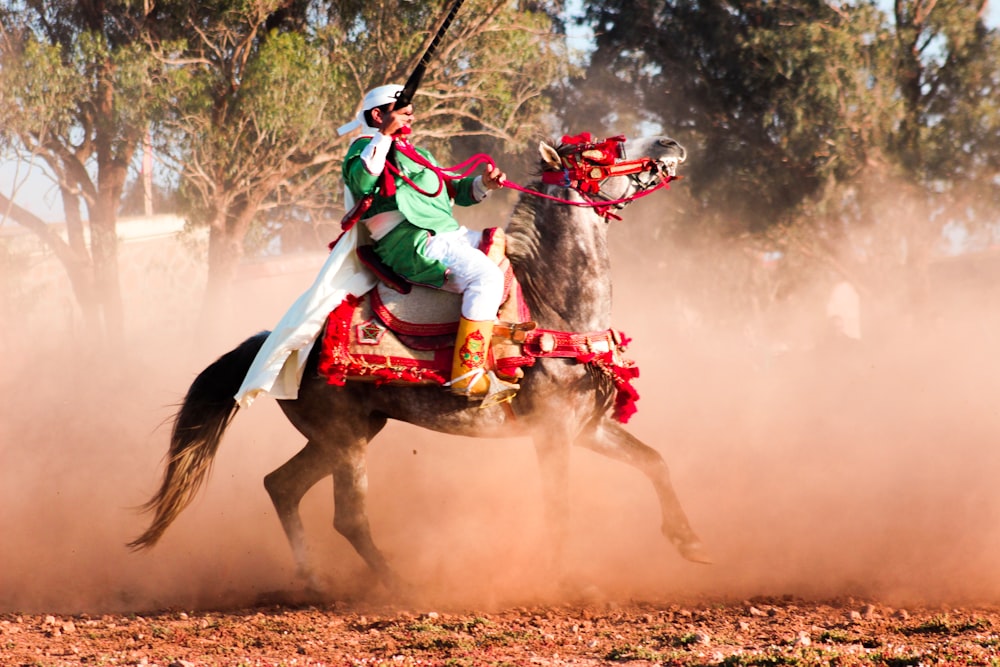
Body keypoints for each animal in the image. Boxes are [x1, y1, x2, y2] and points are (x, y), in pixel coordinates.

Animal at [131, 133, 712, 592]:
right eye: (596, 153)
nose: (669, 143)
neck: (553, 307)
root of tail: (274, 345)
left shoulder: (588, 428)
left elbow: (654, 462)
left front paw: (690, 543)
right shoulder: (553, 434)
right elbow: (560, 508)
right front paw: (569, 582)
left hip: (348, 434)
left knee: (282, 486)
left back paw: (315, 580)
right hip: (345, 439)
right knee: (349, 517)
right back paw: (400, 585)